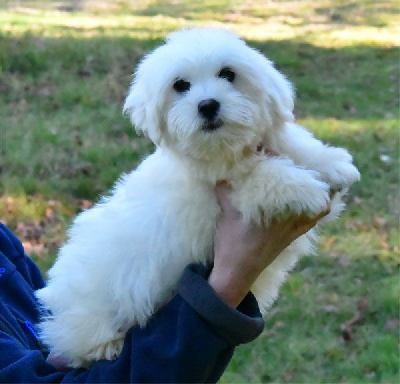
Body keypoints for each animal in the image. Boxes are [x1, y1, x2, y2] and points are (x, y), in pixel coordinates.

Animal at [36, 28, 360, 368]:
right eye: (180, 85)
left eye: (228, 74)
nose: (207, 105)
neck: (223, 150)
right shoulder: (231, 188)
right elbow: (260, 176)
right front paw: (306, 188)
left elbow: (292, 143)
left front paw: (332, 164)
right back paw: (106, 346)